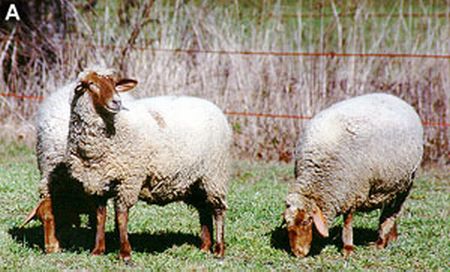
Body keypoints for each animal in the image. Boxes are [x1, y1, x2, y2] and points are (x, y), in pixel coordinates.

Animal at [284, 93, 424, 258]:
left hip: (403, 183)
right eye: (287, 223)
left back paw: (381, 242)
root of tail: (395, 98)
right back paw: (392, 237)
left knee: (392, 211)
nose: (297, 253)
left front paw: (348, 248)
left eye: (306, 222)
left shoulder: (352, 191)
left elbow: (347, 221)